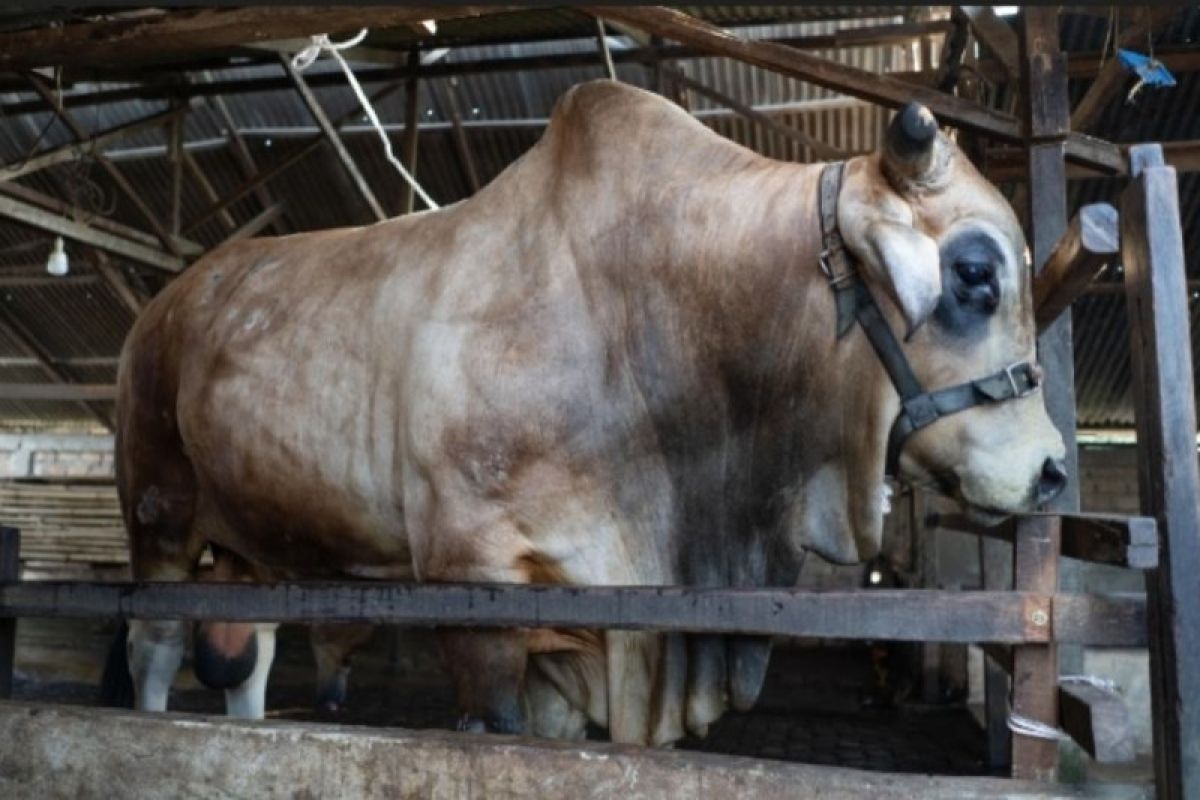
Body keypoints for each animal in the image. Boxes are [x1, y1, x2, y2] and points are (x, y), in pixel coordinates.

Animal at [110, 79, 1070, 743]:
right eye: (975, 273)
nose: (1053, 468)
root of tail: (165, 303)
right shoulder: (475, 579)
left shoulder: (593, 629)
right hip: (158, 519)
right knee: (153, 647)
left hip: (251, 544)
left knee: (246, 660)